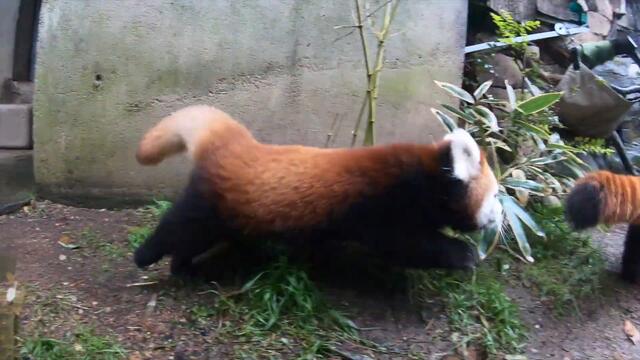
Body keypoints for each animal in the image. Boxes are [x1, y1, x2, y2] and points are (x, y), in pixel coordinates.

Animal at [134, 104, 504, 276]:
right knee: (180, 226)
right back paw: (148, 256)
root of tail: (232, 144)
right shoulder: (385, 203)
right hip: (212, 204)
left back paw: (185, 265)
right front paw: (463, 254)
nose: (501, 216)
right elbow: (406, 245)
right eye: (496, 197)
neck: (425, 177)